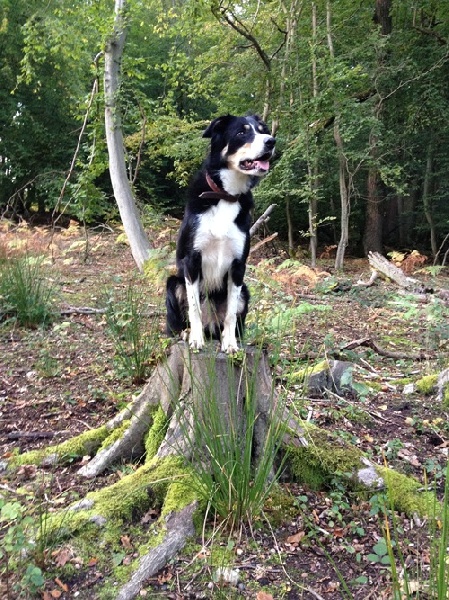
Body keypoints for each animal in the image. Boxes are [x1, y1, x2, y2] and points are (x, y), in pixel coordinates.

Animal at [166, 113, 274, 352]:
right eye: (242, 132)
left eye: (263, 130)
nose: (271, 141)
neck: (226, 196)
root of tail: (211, 327)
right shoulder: (192, 260)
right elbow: (194, 308)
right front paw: (196, 339)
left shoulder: (238, 266)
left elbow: (231, 314)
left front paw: (230, 343)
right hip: (173, 284)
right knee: (178, 323)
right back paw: (187, 334)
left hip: (245, 291)